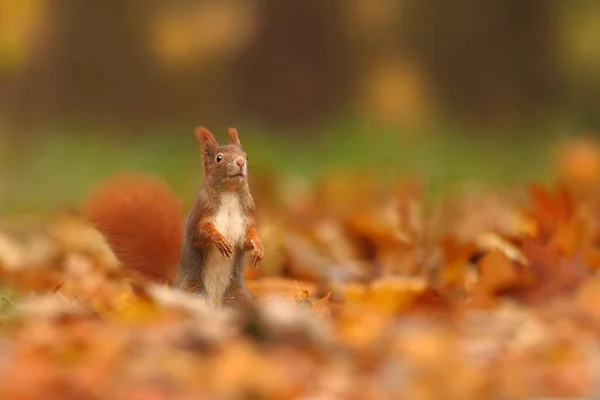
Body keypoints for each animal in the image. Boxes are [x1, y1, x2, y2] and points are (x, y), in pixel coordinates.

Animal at [83, 126, 264, 304]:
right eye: (219, 158)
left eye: (246, 156)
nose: (240, 163)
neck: (230, 193)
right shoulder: (199, 215)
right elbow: (199, 233)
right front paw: (218, 238)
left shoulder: (246, 217)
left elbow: (249, 236)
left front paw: (258, 247)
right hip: (194, 293)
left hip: (237, 296)